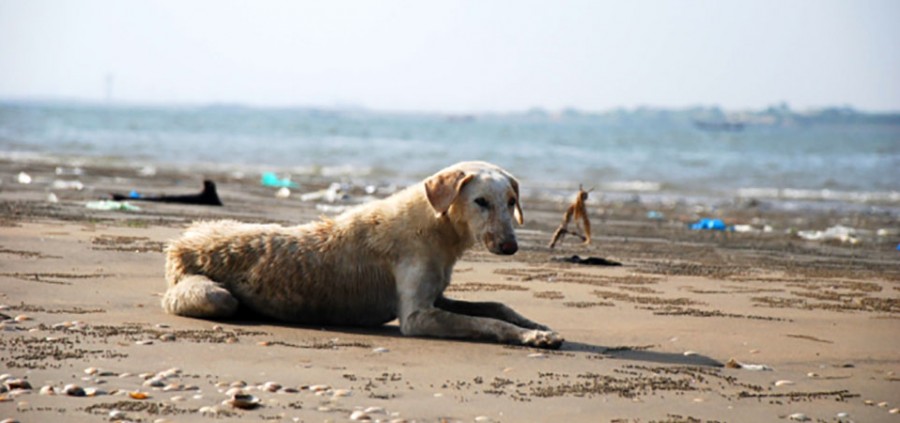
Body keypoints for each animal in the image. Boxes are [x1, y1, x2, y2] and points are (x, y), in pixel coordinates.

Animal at [162, 161, 564, 350]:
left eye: (511, 202)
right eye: (480, 201)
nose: (510, 246)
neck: (436, 226)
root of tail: (179, 243)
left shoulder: (437, 295)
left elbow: (496, 306)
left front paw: (538, 326)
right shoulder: (418, 316)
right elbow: (486, 322)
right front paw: (532, 337)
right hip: (210, 293)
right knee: (221, 299)